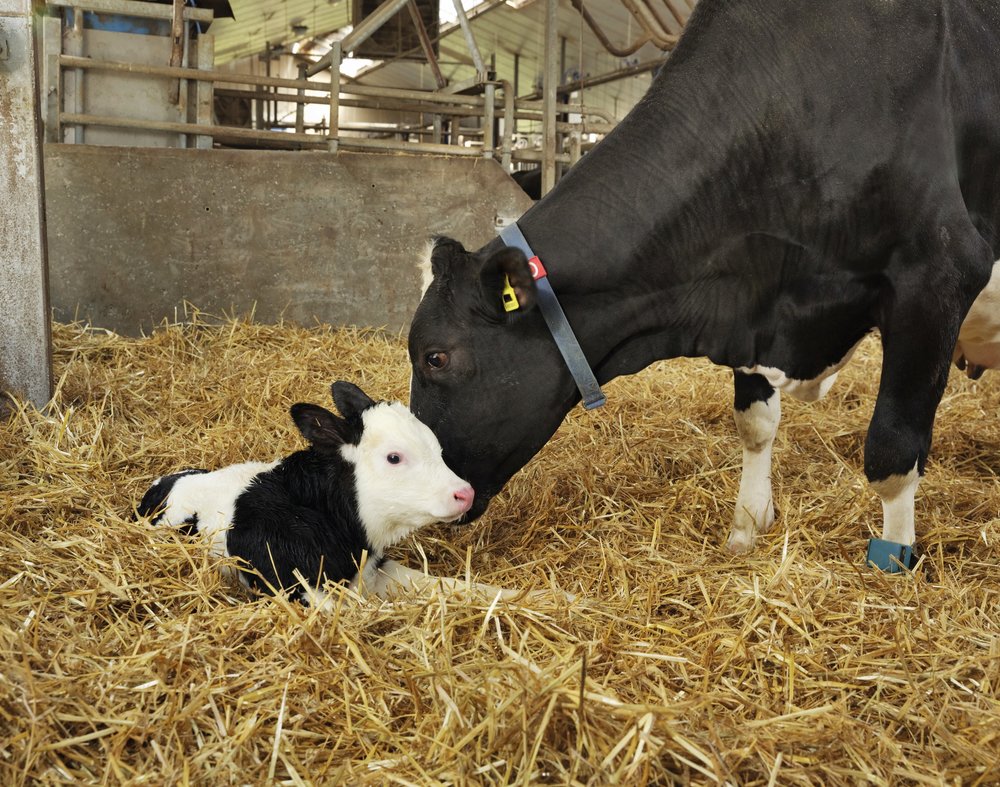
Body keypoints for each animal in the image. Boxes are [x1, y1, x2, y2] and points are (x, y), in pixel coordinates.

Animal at [407, 0, 1000, 569]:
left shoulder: (939, 273)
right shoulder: (746, 291)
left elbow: (892, 450)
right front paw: (746, 530)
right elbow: (755, 423)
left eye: (436, 357)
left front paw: (892, 562)